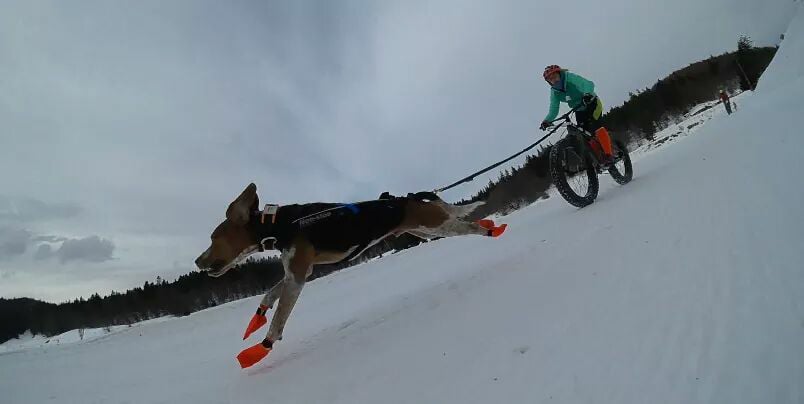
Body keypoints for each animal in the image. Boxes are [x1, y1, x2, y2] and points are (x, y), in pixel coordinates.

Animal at [194, 185, 506, 368]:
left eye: (213, 238)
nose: (197, 262)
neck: (279, 224)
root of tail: (410, 199)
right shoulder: (298, 271)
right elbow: (270, 294)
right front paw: (257, 317)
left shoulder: (297, 276)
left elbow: (278, 320)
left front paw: (262, 347)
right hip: (427, 230)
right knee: (463, 220)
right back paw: (487, 223)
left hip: (437, 225)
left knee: (469, 226)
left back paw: (491, 229)